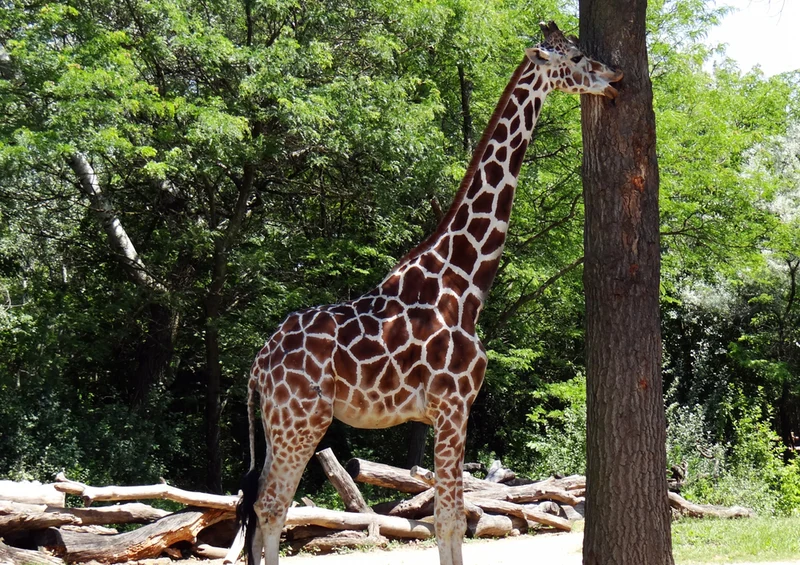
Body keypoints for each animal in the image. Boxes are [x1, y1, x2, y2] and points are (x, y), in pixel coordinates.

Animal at [237, 21, 622, 565]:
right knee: (271, 506)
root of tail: (257, 366)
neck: (465, 281)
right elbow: (450, 520)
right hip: (301, 420)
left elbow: (452, 517)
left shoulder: (448, 410)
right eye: (577, 56)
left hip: (279, 424)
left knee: (263, 507)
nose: (615, 78)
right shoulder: (453, 404)